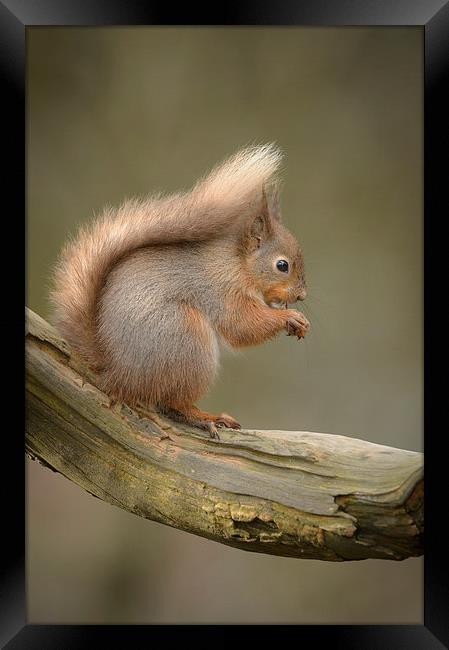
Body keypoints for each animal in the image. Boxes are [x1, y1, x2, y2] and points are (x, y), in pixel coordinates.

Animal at [50, 143, 308, 436]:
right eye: (282, 265)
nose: (301, 296)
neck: (238, 264)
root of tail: (116, 372)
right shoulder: (222, 290)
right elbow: (242, 325)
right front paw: (289, 317)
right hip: (186, 340)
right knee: (173, 403)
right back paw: (205, 417)